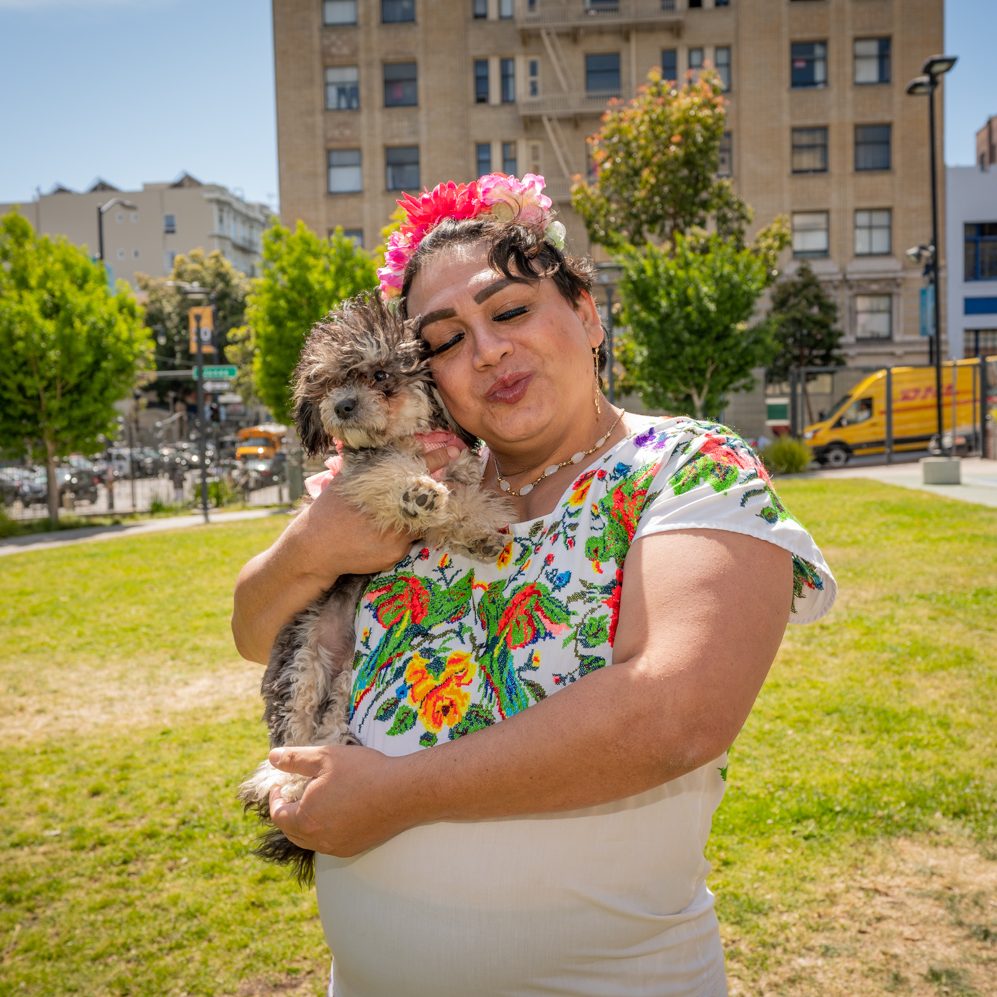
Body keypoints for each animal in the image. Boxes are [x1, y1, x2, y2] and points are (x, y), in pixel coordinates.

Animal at [238, 292, 510, 884]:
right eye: (325, 383)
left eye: (381, 375)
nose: (340, 406)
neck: (407, 435)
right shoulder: (357, 474)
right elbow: (391, 473)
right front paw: (416, 491)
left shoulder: (457, 469)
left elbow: (463, 501)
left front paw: (477, 527)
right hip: (302, 664)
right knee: (286, 745)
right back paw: (287, 783)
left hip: (344, 685)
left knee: (325, 733)